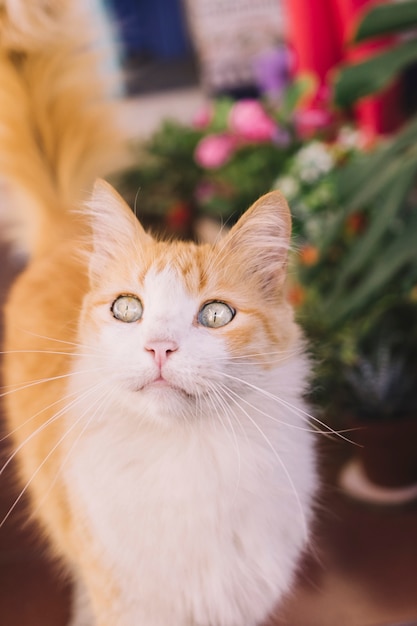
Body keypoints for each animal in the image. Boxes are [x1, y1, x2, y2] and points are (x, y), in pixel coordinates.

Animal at [0, 1, 316, 624]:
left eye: (216, 315)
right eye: (128, 309)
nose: (159, 347)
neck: (187, 460)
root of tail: (64, 236)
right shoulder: (129, 600)